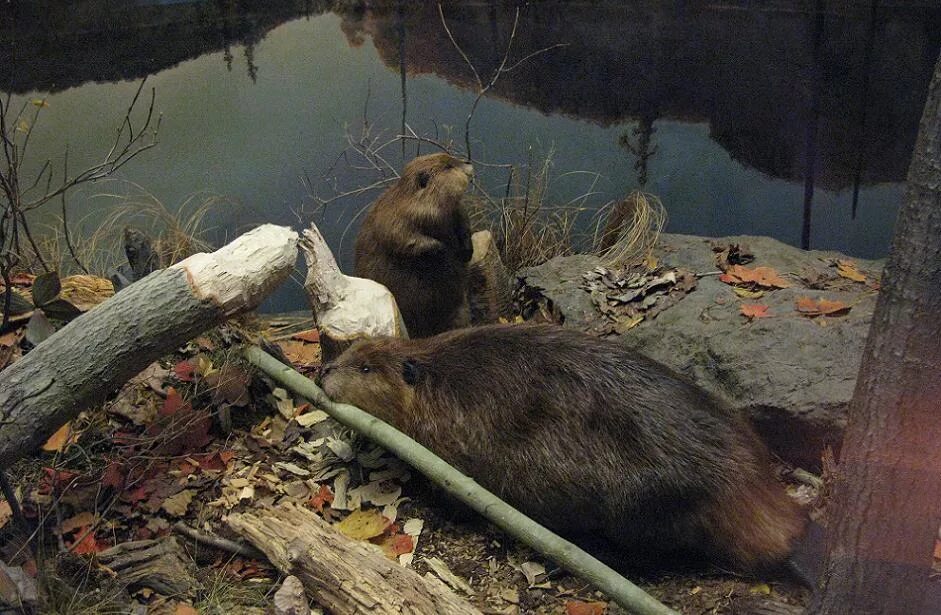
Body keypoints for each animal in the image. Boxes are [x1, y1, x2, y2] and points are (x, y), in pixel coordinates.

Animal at [352, 152, 474, 340]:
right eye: (448, 166)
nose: (468, 161)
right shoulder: (393, 217)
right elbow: (405, 240)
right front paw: (444, 251)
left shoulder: (455, 209)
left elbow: (464, 222)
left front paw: (466, 251)